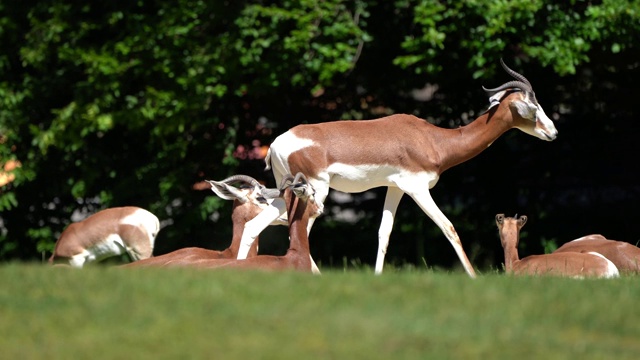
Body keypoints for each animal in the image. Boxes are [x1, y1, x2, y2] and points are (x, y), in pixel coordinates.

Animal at [238, 60, 556, 278]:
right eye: (533, 106)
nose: (553, 132)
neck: (433, 140)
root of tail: (275, 143)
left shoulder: (395, 188)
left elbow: (384, 233)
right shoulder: (418, 189)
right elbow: (449, 227)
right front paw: (475, 277)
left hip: (288, 190)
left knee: (257, 225)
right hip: (316, 190)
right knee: (299, 226)